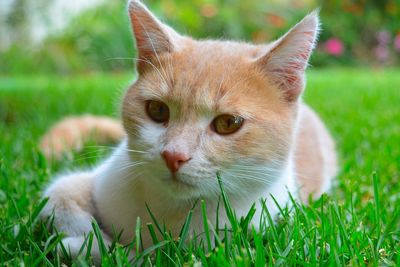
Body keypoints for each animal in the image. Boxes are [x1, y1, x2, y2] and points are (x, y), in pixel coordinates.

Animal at [39, 0, 338, 264]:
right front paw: (88, 236)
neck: (171, 210)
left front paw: (89, 248)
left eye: (228, 123)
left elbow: (154, 258)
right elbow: (60, 194)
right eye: (157, 110)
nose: (174, 155)